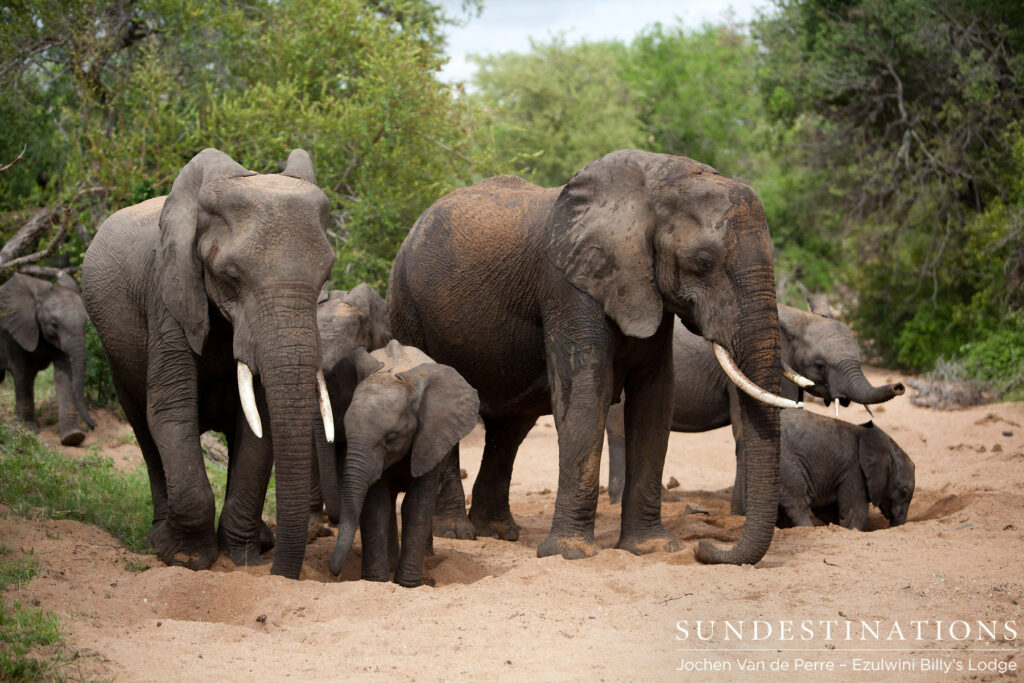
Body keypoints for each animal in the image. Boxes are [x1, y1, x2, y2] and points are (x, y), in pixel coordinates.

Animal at [0, 273, 96, 445]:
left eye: (85, 324)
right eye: (54, 325)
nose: (93, 426)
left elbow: (63, 375)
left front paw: (73, 436)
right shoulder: (14, 332)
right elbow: (22, 374)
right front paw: (27, 430)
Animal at [81, 148, 335, 578]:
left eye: (325, 277)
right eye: (230, 275)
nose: (282, 574)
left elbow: (259, 424)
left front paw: (244, 558)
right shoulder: (169, 295)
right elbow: (171, 412)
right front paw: (187, 559)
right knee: (145, 433)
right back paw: (158, 537)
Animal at [327, 340, 479, 587]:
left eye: (392, 438)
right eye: (347, 434)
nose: (335, 573)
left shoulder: (430, 437)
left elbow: (417, 505)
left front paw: (408, 584)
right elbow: (377, 505)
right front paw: (376, 582)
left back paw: (426, 557)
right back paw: (391, 563)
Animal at [388, 149, 800, 565]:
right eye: (702, 261)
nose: (703, 547)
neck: (652, 187)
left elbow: (655, 399)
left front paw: (651, 548)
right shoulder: (569, 286)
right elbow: (586, 391)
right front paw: (569, 553)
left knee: (510, 429)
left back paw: (498, 532)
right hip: (406, 307)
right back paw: (457, 532)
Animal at [776, 409, 914, 530]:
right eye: (903, 492)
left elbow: (826, 509)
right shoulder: (854, 469)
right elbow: (855, 513)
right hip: (787, 464)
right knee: (797, 503)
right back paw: (807, 528)